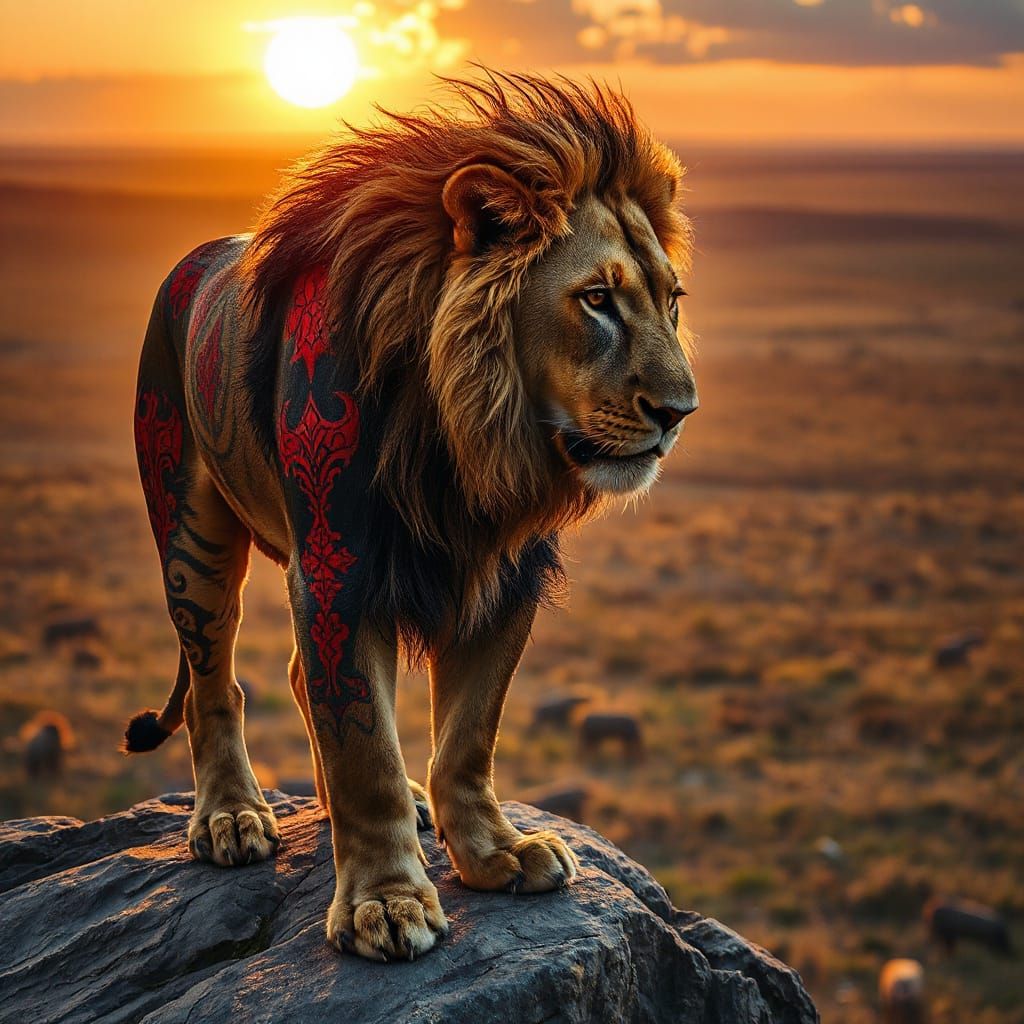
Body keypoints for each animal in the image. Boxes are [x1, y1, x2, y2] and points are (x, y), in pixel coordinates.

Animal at [123, 71, 697, 962]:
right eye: (597, 299)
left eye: (672, 303)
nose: (679, 412)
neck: (466, 434)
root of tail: (190, 259)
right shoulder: (338, 568)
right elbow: (365, 752)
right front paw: (385, 901)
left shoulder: (506, 573)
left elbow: (465, 738)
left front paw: (496, 853)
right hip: (191, 527)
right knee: (216, 682)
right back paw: (230, 817)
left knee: (300, 678)